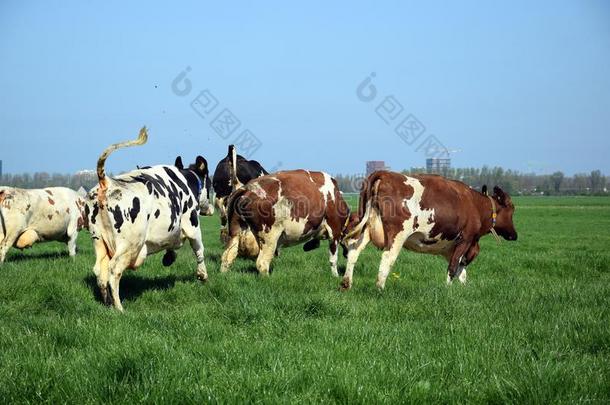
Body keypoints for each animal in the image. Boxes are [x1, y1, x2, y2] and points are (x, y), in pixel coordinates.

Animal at [86, 128, 213, 310]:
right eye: (210, 183)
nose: (210, 208)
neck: (186, 181)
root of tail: (107, 181)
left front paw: (169, 257)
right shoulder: (192, 225)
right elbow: (199, 249)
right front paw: (202, 275)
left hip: (99, 240)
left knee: (100, 271)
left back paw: (107, 303)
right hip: (130, 244)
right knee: (113, 270)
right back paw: (119, 308)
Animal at [221, 169, 350, 276]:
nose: (347, 254)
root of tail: (247, 188)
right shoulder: (334, 230)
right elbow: (333, 259)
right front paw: (335, 276)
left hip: (235, 232)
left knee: (227, 256)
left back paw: (224, 275)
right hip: (269, 237)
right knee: (262, 263)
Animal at [340, 170, 516, 290]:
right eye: (512, 210)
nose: (514, 235)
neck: (475, 204)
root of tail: (385, 173)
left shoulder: (451, 247)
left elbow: (461, 270)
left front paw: (463, 289)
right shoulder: (465, 239)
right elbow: (453, 268)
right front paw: (448, 290)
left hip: (365, 229)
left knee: (354, 251)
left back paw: (346, 283)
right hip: (397, 235)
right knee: (387, 258)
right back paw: (380, 288)